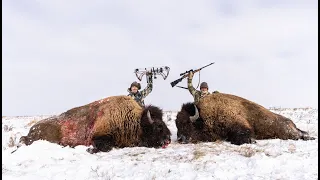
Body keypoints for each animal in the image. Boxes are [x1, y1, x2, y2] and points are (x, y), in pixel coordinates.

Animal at [18, 95, 171, 153]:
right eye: (159, 126)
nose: (169, 139)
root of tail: (32, 129)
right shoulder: (99, 136)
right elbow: (106, 147)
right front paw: (90, 150)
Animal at [175, 93, 316, 145]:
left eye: (187, 123)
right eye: (176, 124)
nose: (180, 139)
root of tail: (290, 122)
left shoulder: (240, 126)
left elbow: (239, 137)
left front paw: (252, 141)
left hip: (287, 133)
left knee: (299, 135)